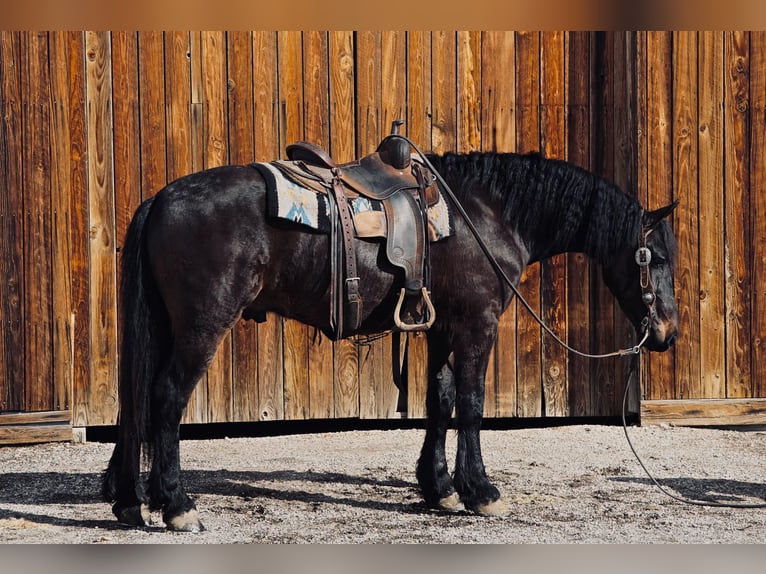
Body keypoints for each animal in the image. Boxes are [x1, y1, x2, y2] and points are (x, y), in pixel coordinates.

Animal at [100, 147, 680, 532]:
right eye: (655, 257)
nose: (667, 333)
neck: (484, 214)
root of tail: (160, 199)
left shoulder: (443, 326)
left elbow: (439, 401)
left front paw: (440, 488)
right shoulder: (478, 323)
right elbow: (471, 404)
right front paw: (481, 492)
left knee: (137, 402)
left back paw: (131, 500)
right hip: (201, 326)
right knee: (166, 399)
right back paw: (178, 506)